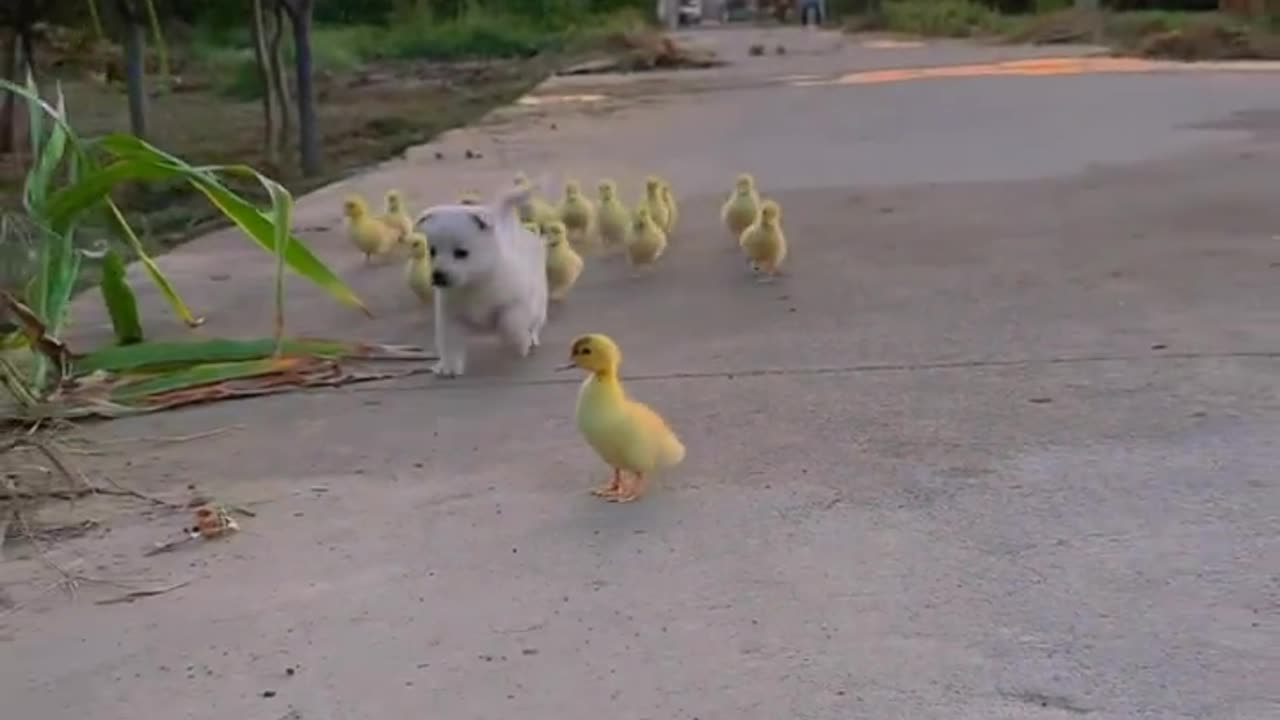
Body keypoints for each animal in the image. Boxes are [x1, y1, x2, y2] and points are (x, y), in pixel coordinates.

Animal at [414, 178, 545, 376]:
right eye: (432, 251)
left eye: (461, 253)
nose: (438, 276)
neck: (475, 283)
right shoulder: (450, 317)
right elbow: (449, 343)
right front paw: (448, 366)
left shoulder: (517, 303)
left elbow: (510, 323)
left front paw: (518, 344)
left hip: (540, 302)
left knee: (536, 322)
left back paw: (532, 338)